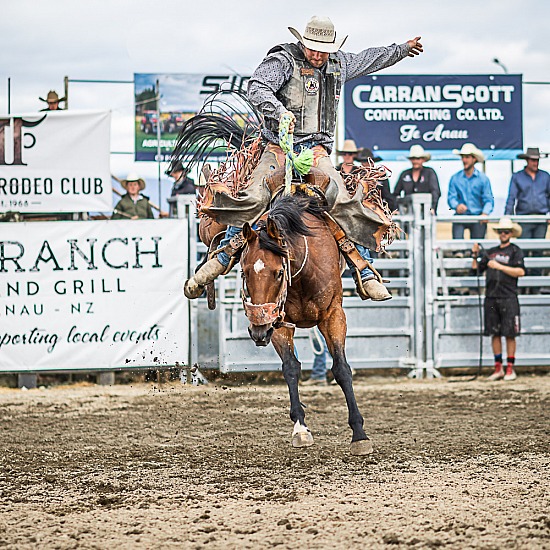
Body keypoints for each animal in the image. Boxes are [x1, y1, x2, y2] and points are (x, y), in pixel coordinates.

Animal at [239, 192, 374, 454]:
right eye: (244, 272)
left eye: (279, 272)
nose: (258, 330)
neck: (302, 272)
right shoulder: (278, 322)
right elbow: (291, 368)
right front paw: (300, 429)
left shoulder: (333, 315)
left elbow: (342, 370)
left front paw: (359, 435)